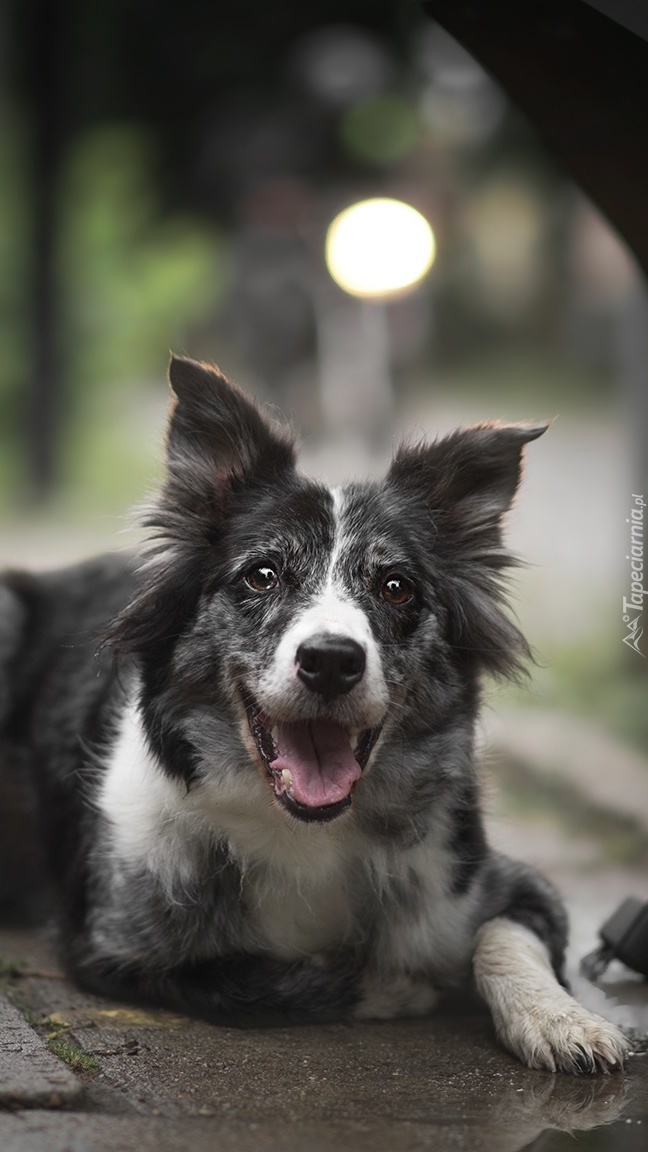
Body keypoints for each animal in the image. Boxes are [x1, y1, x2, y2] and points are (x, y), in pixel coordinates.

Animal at [0, 357, 627, 1069]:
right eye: (263, 575)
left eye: (396, 587)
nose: (330, 660)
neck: (306, 832)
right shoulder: (110, 948)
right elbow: (249, 984)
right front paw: (394, 987)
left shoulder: (504, 884)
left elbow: (507, 938)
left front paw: (562, 1020)